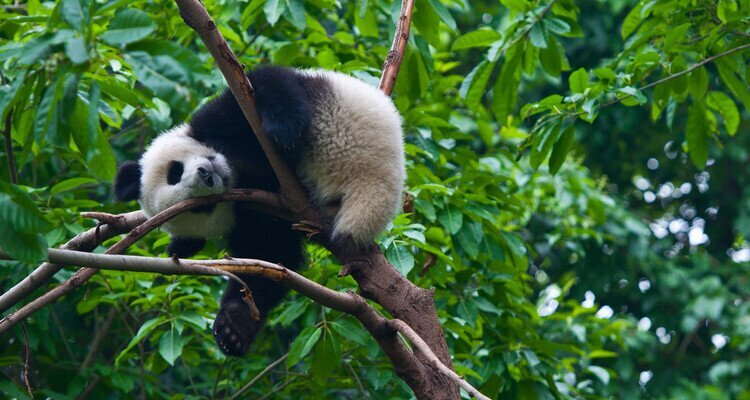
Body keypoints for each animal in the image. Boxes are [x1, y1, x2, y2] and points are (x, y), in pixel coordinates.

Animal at [114, 66, 405, 357]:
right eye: (201, 207)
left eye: (174, 172)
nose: (207, 175)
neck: (238, 168)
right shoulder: (254, 218)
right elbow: (268, 259)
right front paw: (232, 329)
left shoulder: (219, 120)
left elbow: (265, 84)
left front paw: (282, 130)